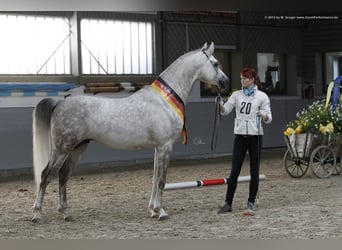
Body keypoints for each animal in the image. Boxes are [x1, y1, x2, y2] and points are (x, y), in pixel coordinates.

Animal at [32, 42, 228, 222]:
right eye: (215, 63)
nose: (225, 82)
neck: (164, 100)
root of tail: (60, 103)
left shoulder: (158, 148)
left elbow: (154, 178)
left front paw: (153, 210)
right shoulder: (165, 147)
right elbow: (161, 180)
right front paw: (161, 211)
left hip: (77, 149)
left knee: (63, 176)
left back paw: (66, 213)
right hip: (62, 149)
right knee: (46, 175)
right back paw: (36, 214)